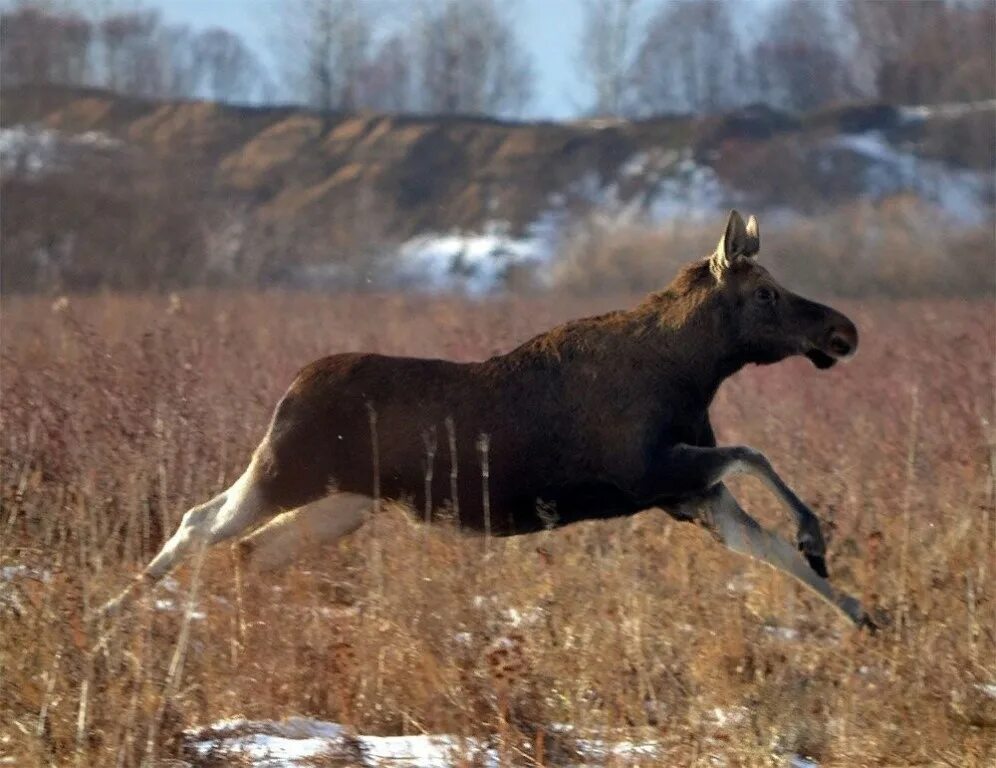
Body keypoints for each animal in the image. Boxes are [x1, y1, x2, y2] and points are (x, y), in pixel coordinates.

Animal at [105, 208, 876, 624]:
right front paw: (817, 537)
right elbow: (756, 456)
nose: (842, 331)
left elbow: (768, 545)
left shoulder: (685, 493)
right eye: (767, 294)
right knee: (200, 521)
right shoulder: (650, 470)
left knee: (248, 551)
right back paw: (112, 612)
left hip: (342, 504)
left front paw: (862, 610)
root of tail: (289, 389)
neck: (696, 371)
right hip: (285, 470)